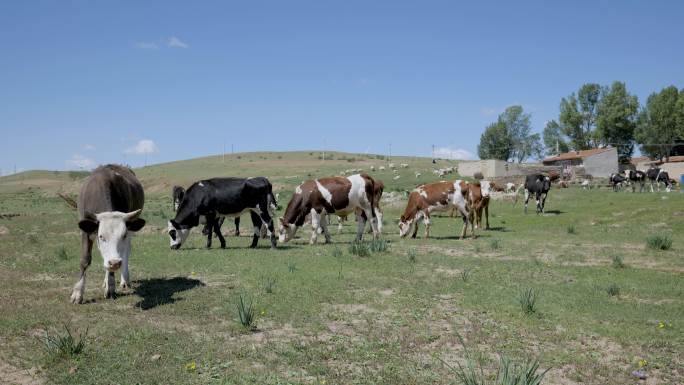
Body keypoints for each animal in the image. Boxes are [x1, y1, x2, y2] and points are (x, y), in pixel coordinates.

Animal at [71, 164, 146, 304]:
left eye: (123, 235)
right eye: (101, 236)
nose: (115, 263)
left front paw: (111, 288)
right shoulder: (86, 232)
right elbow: (85, 260)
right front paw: (77, 293)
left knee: (126, 252)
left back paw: (124, 280)